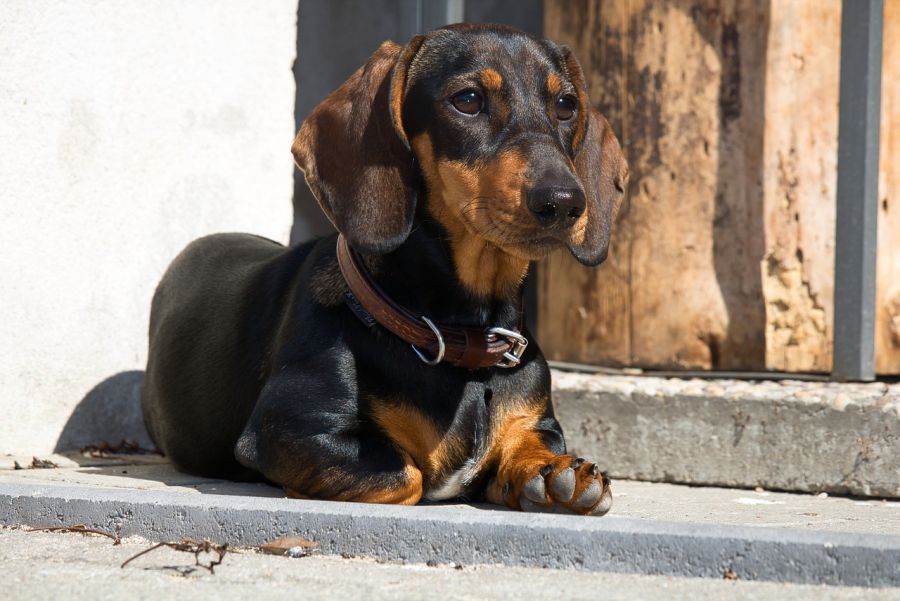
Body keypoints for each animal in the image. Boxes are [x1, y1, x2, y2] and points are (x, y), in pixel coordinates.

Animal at [144, 21, 628, 512]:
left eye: (566, 105)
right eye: (468, 99)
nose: (564, 201)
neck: (461, 341)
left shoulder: (538, 424)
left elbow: (531, 444)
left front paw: (554, 474)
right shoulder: (293, 428)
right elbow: (405, 475)